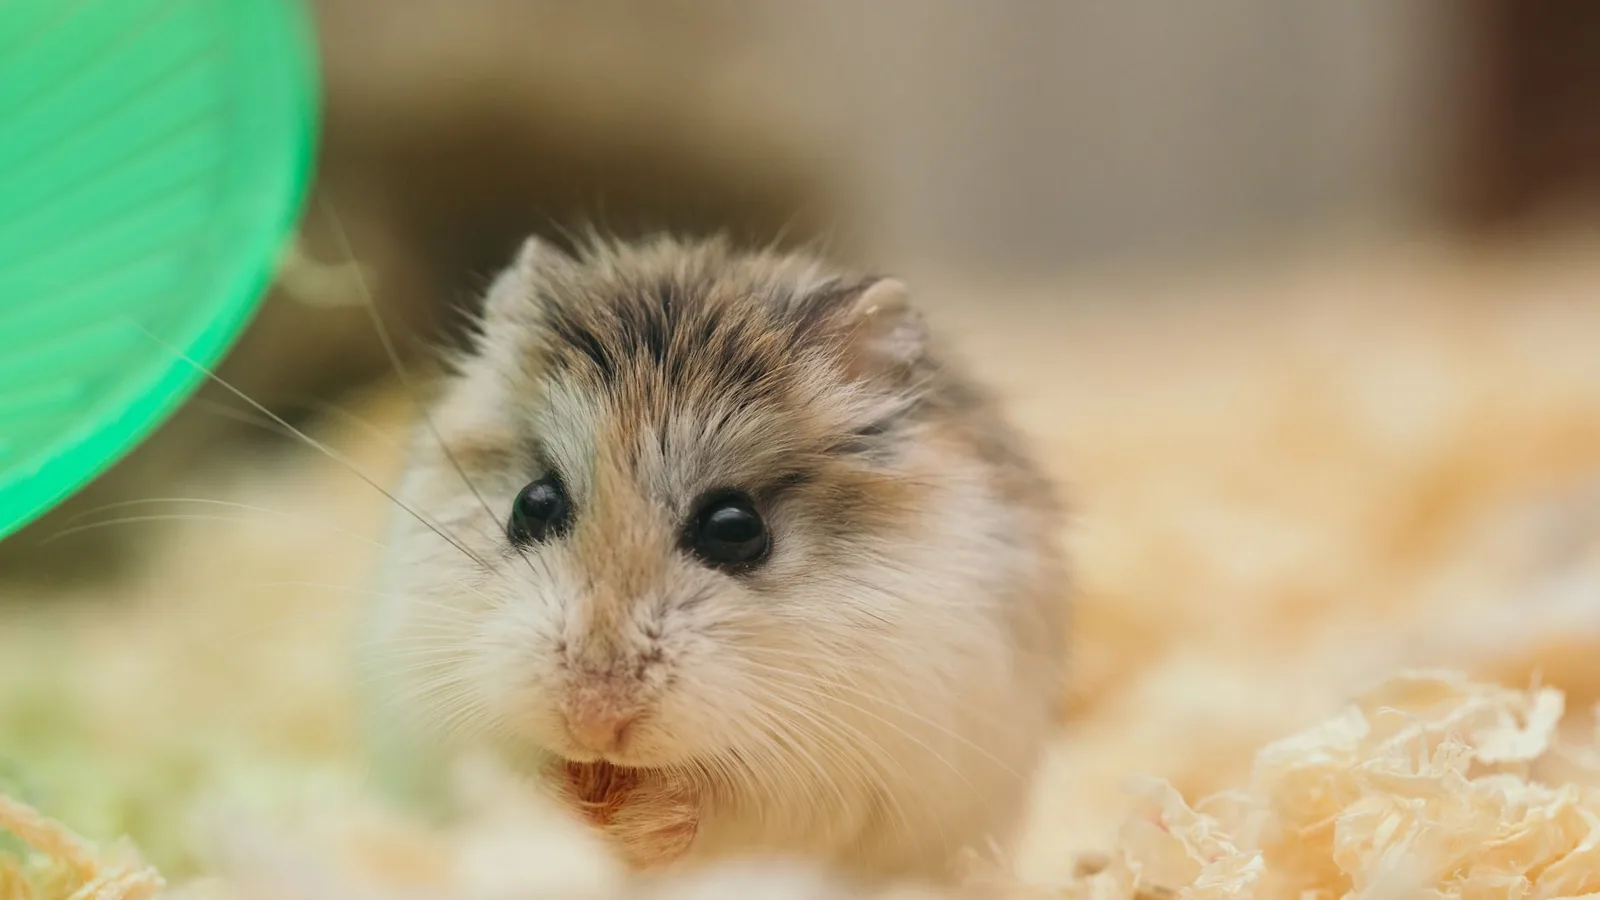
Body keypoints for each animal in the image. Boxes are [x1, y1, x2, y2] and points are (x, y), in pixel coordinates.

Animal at [359, 234, 1068, 885]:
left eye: (735, 528)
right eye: (532, 504)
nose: (594, 723)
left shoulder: (843, 773)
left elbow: (727, 811)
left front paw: (641, 824)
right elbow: (497, 779)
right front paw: (564, 806)